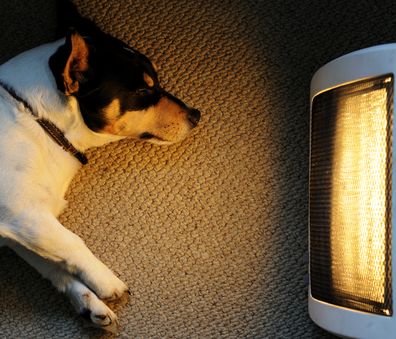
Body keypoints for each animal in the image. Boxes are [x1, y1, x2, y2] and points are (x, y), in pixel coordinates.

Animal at [0, 3, 200, 334]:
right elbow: (71, 243)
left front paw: (89, 302)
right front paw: (107, 283)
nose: (196, 115)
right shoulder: (22, 212)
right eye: (143, 91)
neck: (38, 118)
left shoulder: (23, 228)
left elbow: (56, 266)